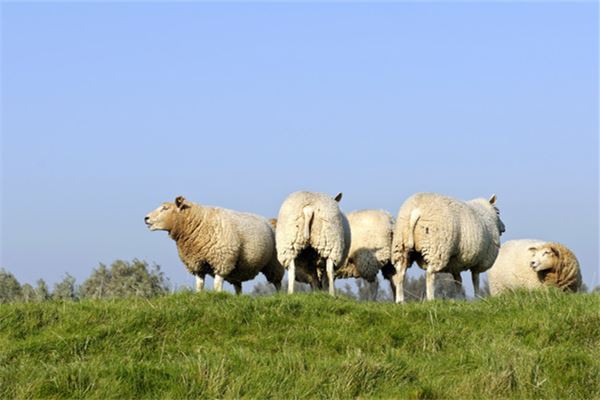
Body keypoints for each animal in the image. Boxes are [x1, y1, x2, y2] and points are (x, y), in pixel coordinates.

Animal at [146, 196, 284, 294]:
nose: (145, 218)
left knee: (277, 282)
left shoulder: (222, 260)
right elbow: (199, 284)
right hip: (238, 269)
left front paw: (218, 296)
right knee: (238, 286)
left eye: (165, 208)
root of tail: (270, 221)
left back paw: (279, 296)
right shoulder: (197, 263)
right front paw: (199, 296)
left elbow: (217, 284)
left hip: (273, 262)